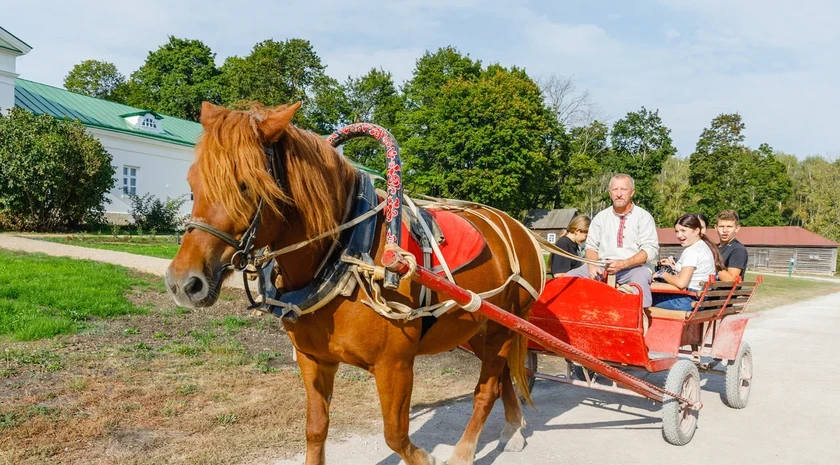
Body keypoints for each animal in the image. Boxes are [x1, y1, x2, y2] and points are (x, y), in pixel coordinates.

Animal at [165, 102, 544, 464]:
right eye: (192, 184)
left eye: (246, 185)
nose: (184, 282)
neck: (344, 256)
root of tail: (519, 228)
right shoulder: (312, 359)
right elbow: (316, 429)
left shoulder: (395, 365)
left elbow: (395, 435)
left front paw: (427, 456)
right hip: (479, 327)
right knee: (501, 378)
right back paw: (513, 429)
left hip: (504, 326)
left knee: (487, 389)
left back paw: (465, 452)